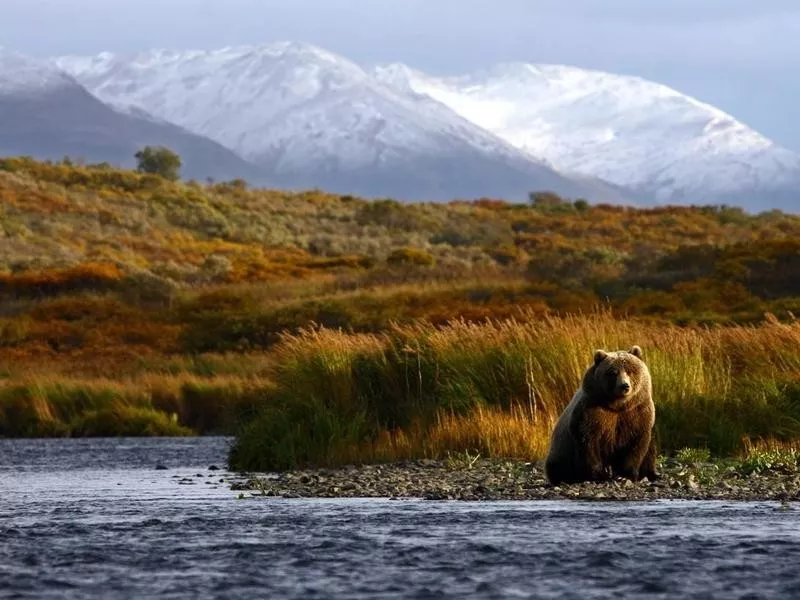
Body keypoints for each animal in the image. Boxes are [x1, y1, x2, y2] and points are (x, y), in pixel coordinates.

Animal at [544, 344, 656, 486]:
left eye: (630, 370)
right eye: (613, 372)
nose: (624, 386)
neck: (617, 405)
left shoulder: (637, 411)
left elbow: (636, 443)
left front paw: (625, 475)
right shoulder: (592, 411)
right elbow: (589, 441)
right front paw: (599, 475)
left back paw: (650, 474)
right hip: (561, 451)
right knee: (559, 467)